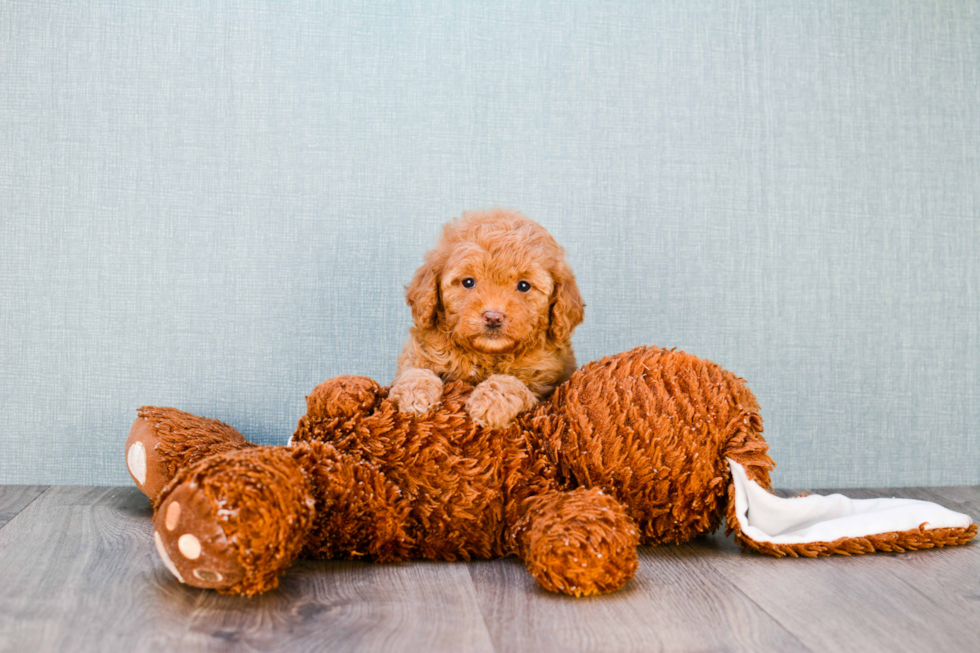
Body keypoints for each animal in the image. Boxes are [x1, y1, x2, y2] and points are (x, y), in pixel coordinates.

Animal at [388, 209, 580, 428]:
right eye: (468, 282)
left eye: (524, 286)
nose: (493, 317)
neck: (486, 354)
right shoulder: (419, 351)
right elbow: (414, 371)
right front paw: (414, 394)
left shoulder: (544, 385)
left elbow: (511, 383)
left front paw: (491, 404)